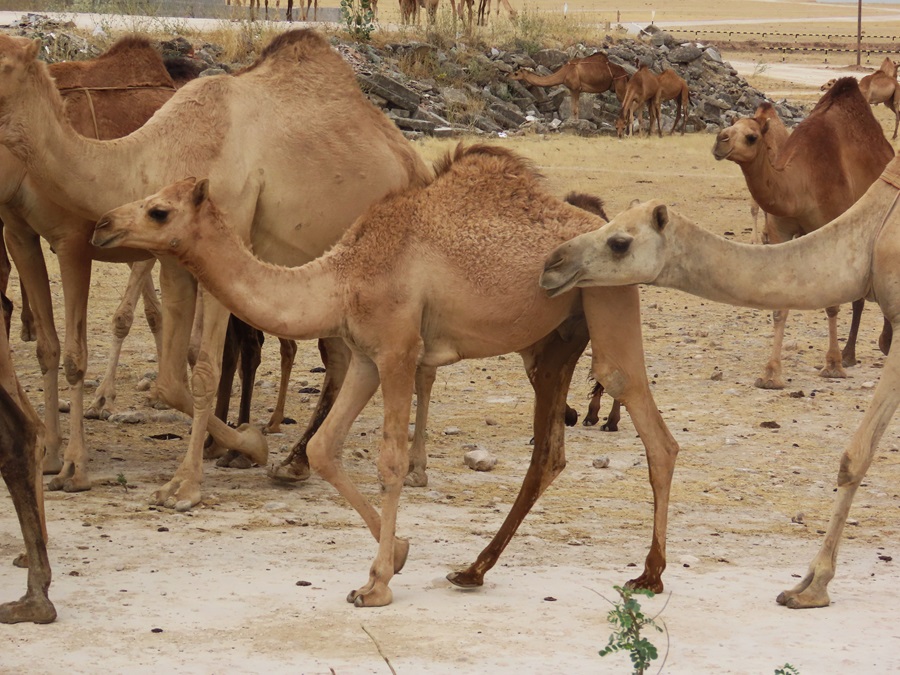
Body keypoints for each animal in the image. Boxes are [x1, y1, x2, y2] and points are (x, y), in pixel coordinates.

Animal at [0, 30, 432, 508]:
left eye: (2, 64)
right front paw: (245, 445)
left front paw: (189, 482)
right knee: (340, 356)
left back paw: (403, 466)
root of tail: (416, 163)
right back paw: (295, 461)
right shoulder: (173, 261)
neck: (150, 155)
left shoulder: (223, 246)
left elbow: (204, 372)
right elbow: (171, 381)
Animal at [91, 147, 684, 608]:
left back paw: (650, 575)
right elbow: (324, 448)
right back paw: (472, 569)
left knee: (652, 428)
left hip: (609, 302)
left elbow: (392, 461)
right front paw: (397, 554)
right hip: (554, 341)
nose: (103, 224)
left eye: (159, 210)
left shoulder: (399, 350)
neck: (341, 277)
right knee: (551, 453)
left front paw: (374, 584)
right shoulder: (366, 356)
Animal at [712, 79, 892, 388]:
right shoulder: (780, 232)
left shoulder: (829, 227)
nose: (719, 141)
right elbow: (780, 304)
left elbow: (831, 305)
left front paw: (832, 365)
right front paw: (771, 373)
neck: (800, 186)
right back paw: (854, 353)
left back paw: (872, 347)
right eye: (729, 127)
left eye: (751, 136)